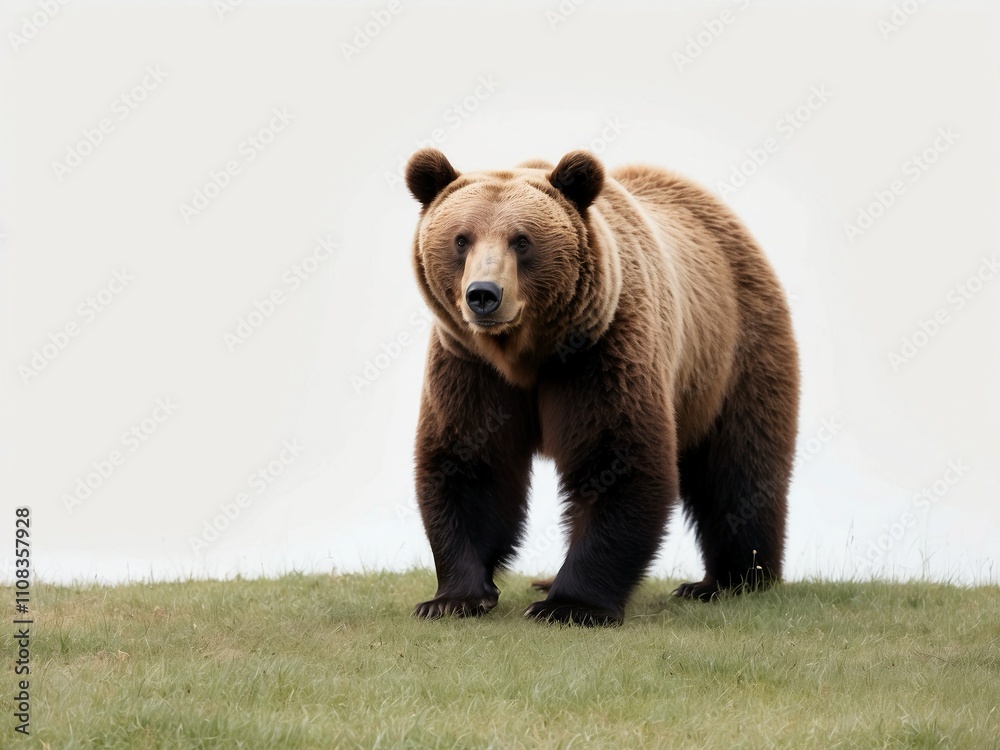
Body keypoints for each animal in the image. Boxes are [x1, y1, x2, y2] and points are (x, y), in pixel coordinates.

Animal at [404, 148, 799, 626]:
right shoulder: (469, 367)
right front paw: (453, 598)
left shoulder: (602, 351)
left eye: (522, 240)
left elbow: (616, 460)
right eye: (461, 239)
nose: (484, 294)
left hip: (734, 351)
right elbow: (470, 463)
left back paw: (730, 580)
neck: (526, 354)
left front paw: (570, 605)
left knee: (740, 466)